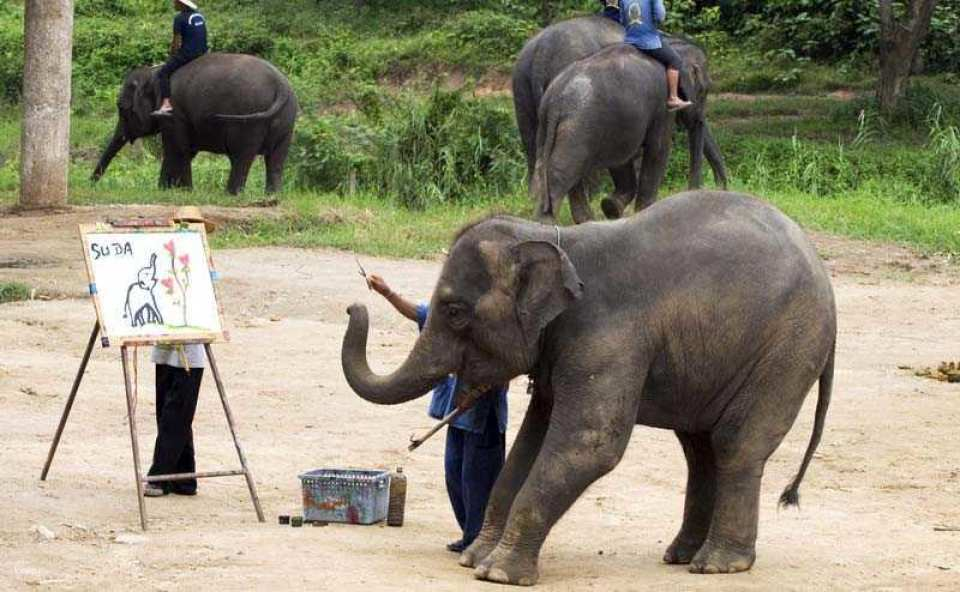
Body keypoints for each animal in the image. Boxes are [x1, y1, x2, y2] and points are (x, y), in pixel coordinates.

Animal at [92, 53, 298, 195]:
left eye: (121, 107)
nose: (91, 182)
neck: (154, 72)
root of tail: (280, 84)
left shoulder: (174, 114)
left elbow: (177, 149)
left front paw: (183, 191)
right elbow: (184, 150)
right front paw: (166, 189)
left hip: (249, 121)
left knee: (242, 156)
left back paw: (231, 195)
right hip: (287, 122)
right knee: (276, 159)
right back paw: (272, 196)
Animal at [342, 190, 836, 586]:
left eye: (456, 311)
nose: (355, 304)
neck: (554, 238)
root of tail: (825, 281)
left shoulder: (607, 336)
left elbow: (588, 443)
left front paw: (498, 574)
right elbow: (530, 442)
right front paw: (475, 558)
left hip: (787, 350)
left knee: (735, 445)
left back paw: (717, 565)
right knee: (700, 449)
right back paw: (681, 556)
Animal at [513, 15, 727, 223]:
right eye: (704, 90)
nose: (720, 187)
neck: (671, 42)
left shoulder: (621, 122)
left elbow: (622, 158)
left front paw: (611, 207)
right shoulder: (662, 105)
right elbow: (658, 149)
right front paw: (644, 211)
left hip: (526, 98)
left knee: (538, 159)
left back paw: (578, 217)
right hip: (577, 126)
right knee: (563, 168)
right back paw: (550, 221)